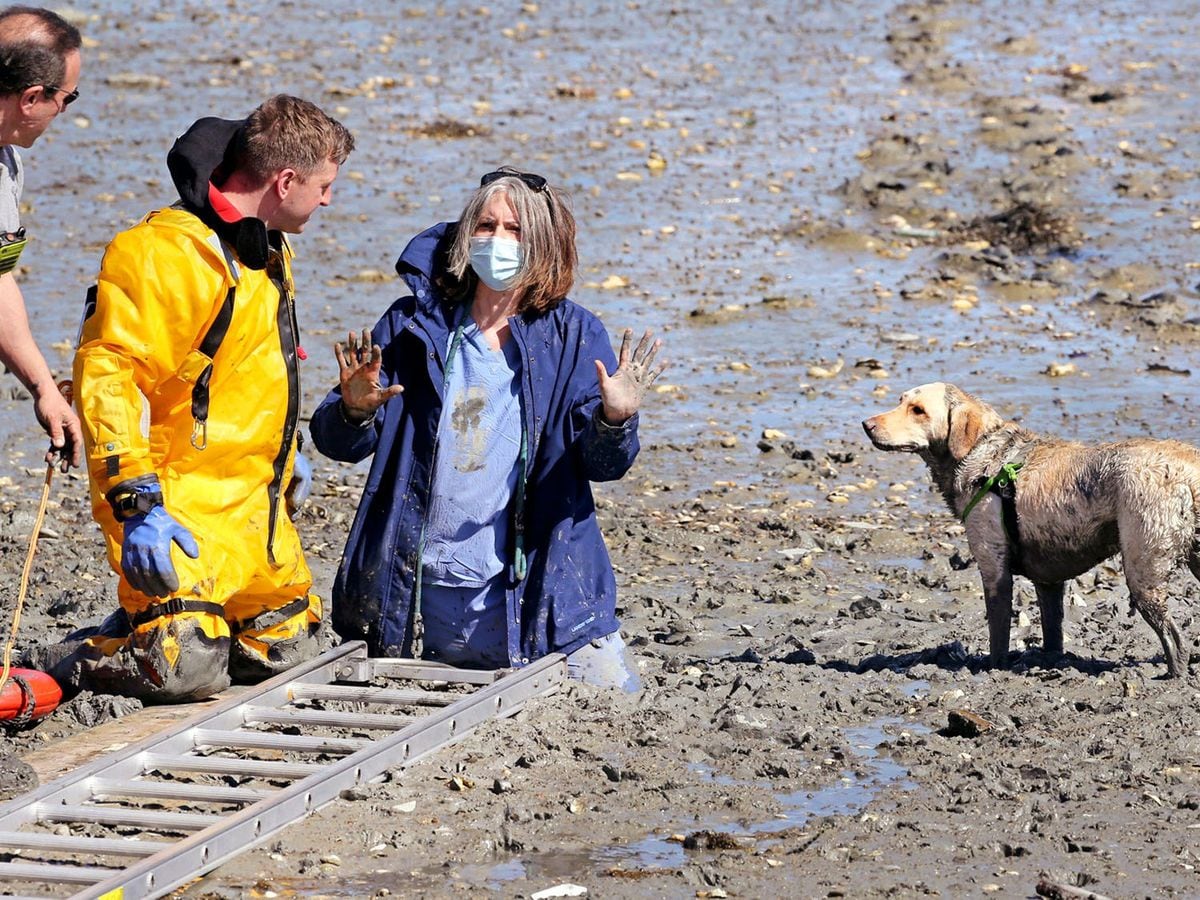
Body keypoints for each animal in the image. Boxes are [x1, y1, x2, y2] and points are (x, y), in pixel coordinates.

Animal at [868, 384, 1195, 681]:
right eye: (900, 401)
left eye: (918, 410)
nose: (866, 424)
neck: (981, 451)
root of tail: (1190, 468)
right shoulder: (1048, 581)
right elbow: (1052, 632)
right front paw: (1051, 662)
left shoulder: (994, 569)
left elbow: (998, 633)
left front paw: (994, 669)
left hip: (1144, 572)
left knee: (1174, 638)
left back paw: (1173, 677)